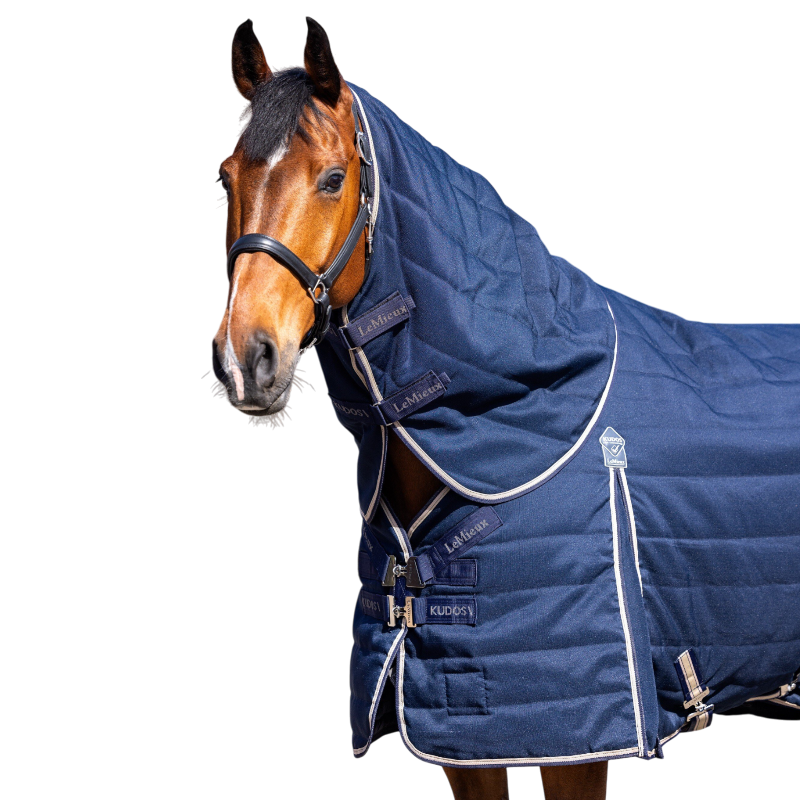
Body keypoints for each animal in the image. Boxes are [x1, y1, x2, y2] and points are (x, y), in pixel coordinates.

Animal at [209, 18, 799, 800]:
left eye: (334, 179)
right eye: (225, 183)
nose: (246, 358)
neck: (527, 410)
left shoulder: (575, 744)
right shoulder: (464, 742)